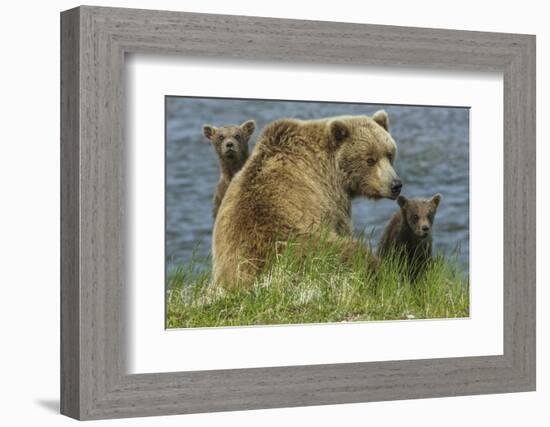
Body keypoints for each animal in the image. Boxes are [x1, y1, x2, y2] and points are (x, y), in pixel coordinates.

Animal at [215, 112, 402, 290]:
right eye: (370, 159)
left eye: (389, 154)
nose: (395, 185)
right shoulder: (331, 199)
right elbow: (343, 227)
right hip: (306, 250)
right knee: (353, 255)